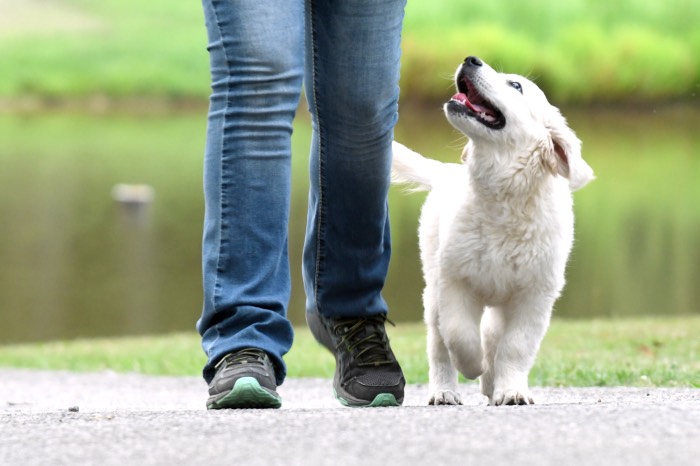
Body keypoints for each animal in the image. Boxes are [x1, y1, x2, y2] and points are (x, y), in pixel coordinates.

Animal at [392, 55, 592, 404]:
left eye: (516, 85)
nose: (470, 59)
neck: (504, 196)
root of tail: (447, 172)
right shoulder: (454, 281)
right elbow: (459, 335)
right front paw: (474, 366)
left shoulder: (534, 295)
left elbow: (516, 347)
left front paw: (510, 390)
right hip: (433, 287)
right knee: (439, 347)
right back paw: (445, 391)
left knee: (491, 331)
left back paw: (490, 382)